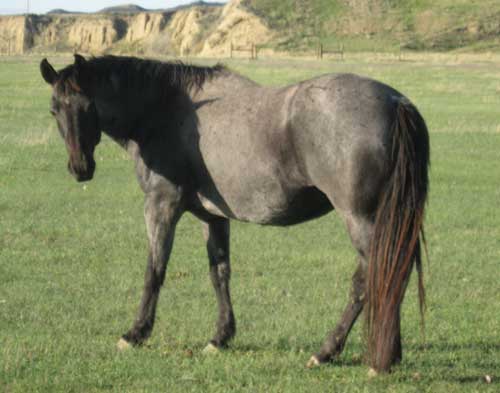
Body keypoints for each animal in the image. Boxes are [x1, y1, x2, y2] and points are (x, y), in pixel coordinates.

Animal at [40, 53, 430, 372]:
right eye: (55, 110)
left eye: (88, 106)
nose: (80, 168)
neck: (167, 110)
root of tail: (396, 102)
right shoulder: (213, 216)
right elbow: (219, 273)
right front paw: (220, 337)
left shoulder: (162, 205)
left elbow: (155, 270)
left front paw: (135, 333)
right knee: (392, 273)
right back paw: (387, 354)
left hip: (361, 219)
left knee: (370, 279)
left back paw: (333, 352)